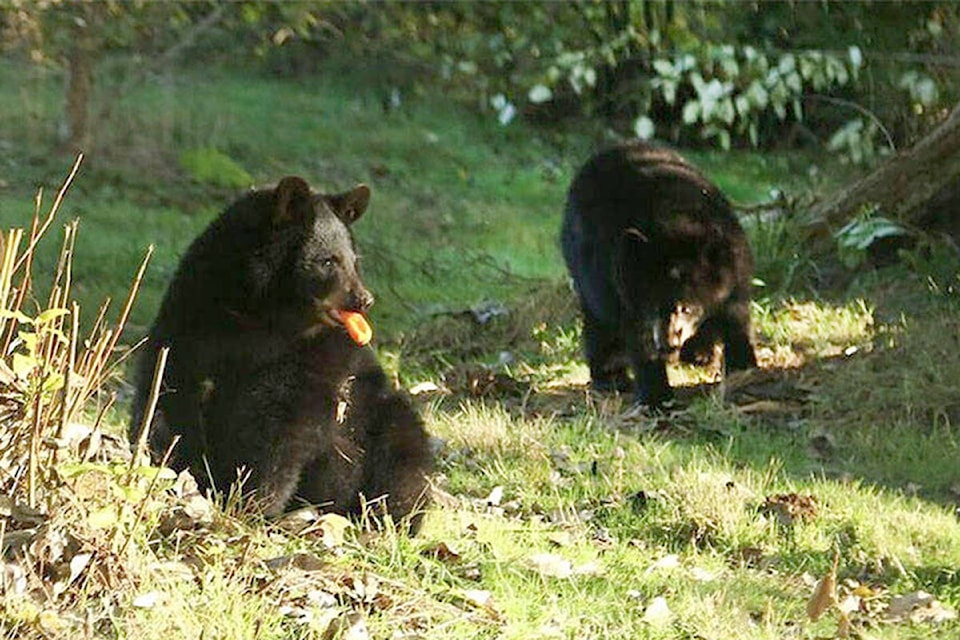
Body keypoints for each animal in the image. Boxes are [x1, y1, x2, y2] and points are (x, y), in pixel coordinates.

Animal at [130, 175, 432, 528]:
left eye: (354, 262)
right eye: (328, 261)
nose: (363, 300)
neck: (260, 316)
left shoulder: (311, 356)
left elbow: (279, 427)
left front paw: (251, 503)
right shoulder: (189, 320)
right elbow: (169, 392)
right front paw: (169, 466)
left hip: (382, 420)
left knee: (401, 460)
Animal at [564, 142, 756, 408]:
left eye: (686, 307)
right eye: (653, 307)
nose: (668, 343)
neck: (673, 223)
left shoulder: (733, 270)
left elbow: (735, 316)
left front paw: (744, 366)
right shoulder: (625, 284)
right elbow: (639, 339)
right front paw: (656, 397)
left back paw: (700, 352)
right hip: (587, 273)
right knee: (598, 321)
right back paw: (611, 376)